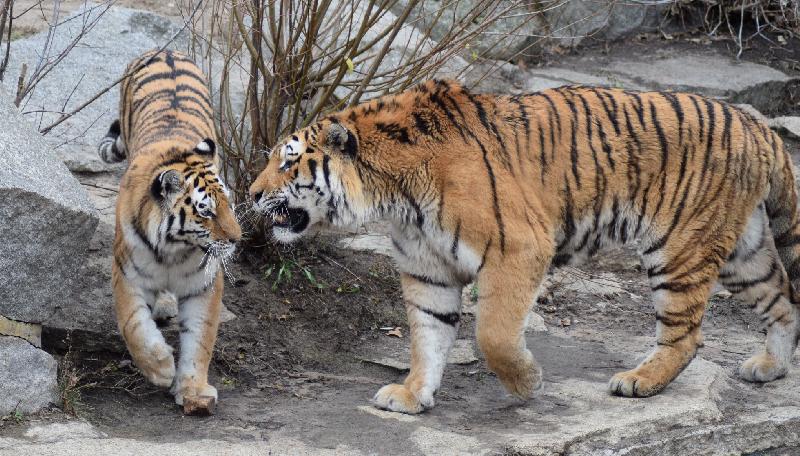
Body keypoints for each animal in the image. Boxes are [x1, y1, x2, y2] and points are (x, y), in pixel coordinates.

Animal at [98, 49, 241, 408]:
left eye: (229, 204)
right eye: (206, 212)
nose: (237, 239)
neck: (172, 250)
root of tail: (165, 51)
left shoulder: (204, 285)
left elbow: (200, 339)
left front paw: (193, 389)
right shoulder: (126, 276)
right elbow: (134, 326)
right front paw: (161, 368)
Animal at [248, 79, 800, 414]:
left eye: (288, 162)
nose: (250, 193)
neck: (392, 196)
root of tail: (758, 126)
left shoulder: (517, 247)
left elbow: (492, 333)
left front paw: (527, 384)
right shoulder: (427, 269)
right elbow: (427, 336)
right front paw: (413, 393)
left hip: (679, 249)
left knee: (687, 336)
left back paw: (639, 380)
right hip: (742, 252)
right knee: (784, 299)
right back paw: (770, 368)